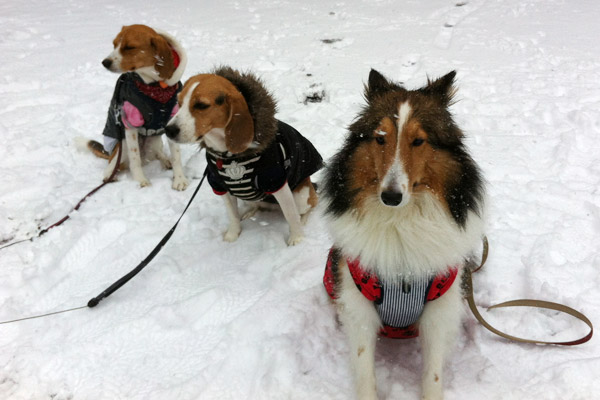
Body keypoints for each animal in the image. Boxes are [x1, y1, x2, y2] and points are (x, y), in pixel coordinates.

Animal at [84, 25, 188, 191]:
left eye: (129, 47)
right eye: (114, 45)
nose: (105, 62)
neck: (155, 86)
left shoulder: (172, 120)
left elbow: (176, 155)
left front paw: (179, 179)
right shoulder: (130, 123)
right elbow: (135, 159)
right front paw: (140, 180)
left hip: (154, 141)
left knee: (158, 154)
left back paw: (165, 160)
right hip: (122, 145)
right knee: (114, 163)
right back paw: (109, 175)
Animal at [164, 67, 324, 245]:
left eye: (201, 105)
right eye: (179, 103)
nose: (168, 130)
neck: (229, 155)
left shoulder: (276, 183)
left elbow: (290, 215)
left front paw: (296, 237)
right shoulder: (220, 186)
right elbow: (232, 215)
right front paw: (233, 234)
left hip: (301, 195)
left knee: (306, 208)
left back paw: (303, 219)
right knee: (257, 205)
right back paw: (250, 212)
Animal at [322, 69, 486, 400]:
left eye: (419, 140)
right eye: (380, 138)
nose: (391, 196)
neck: (400, 223)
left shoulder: (440, 311)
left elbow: (433, 373)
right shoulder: (358, 306)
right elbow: (364, 367)